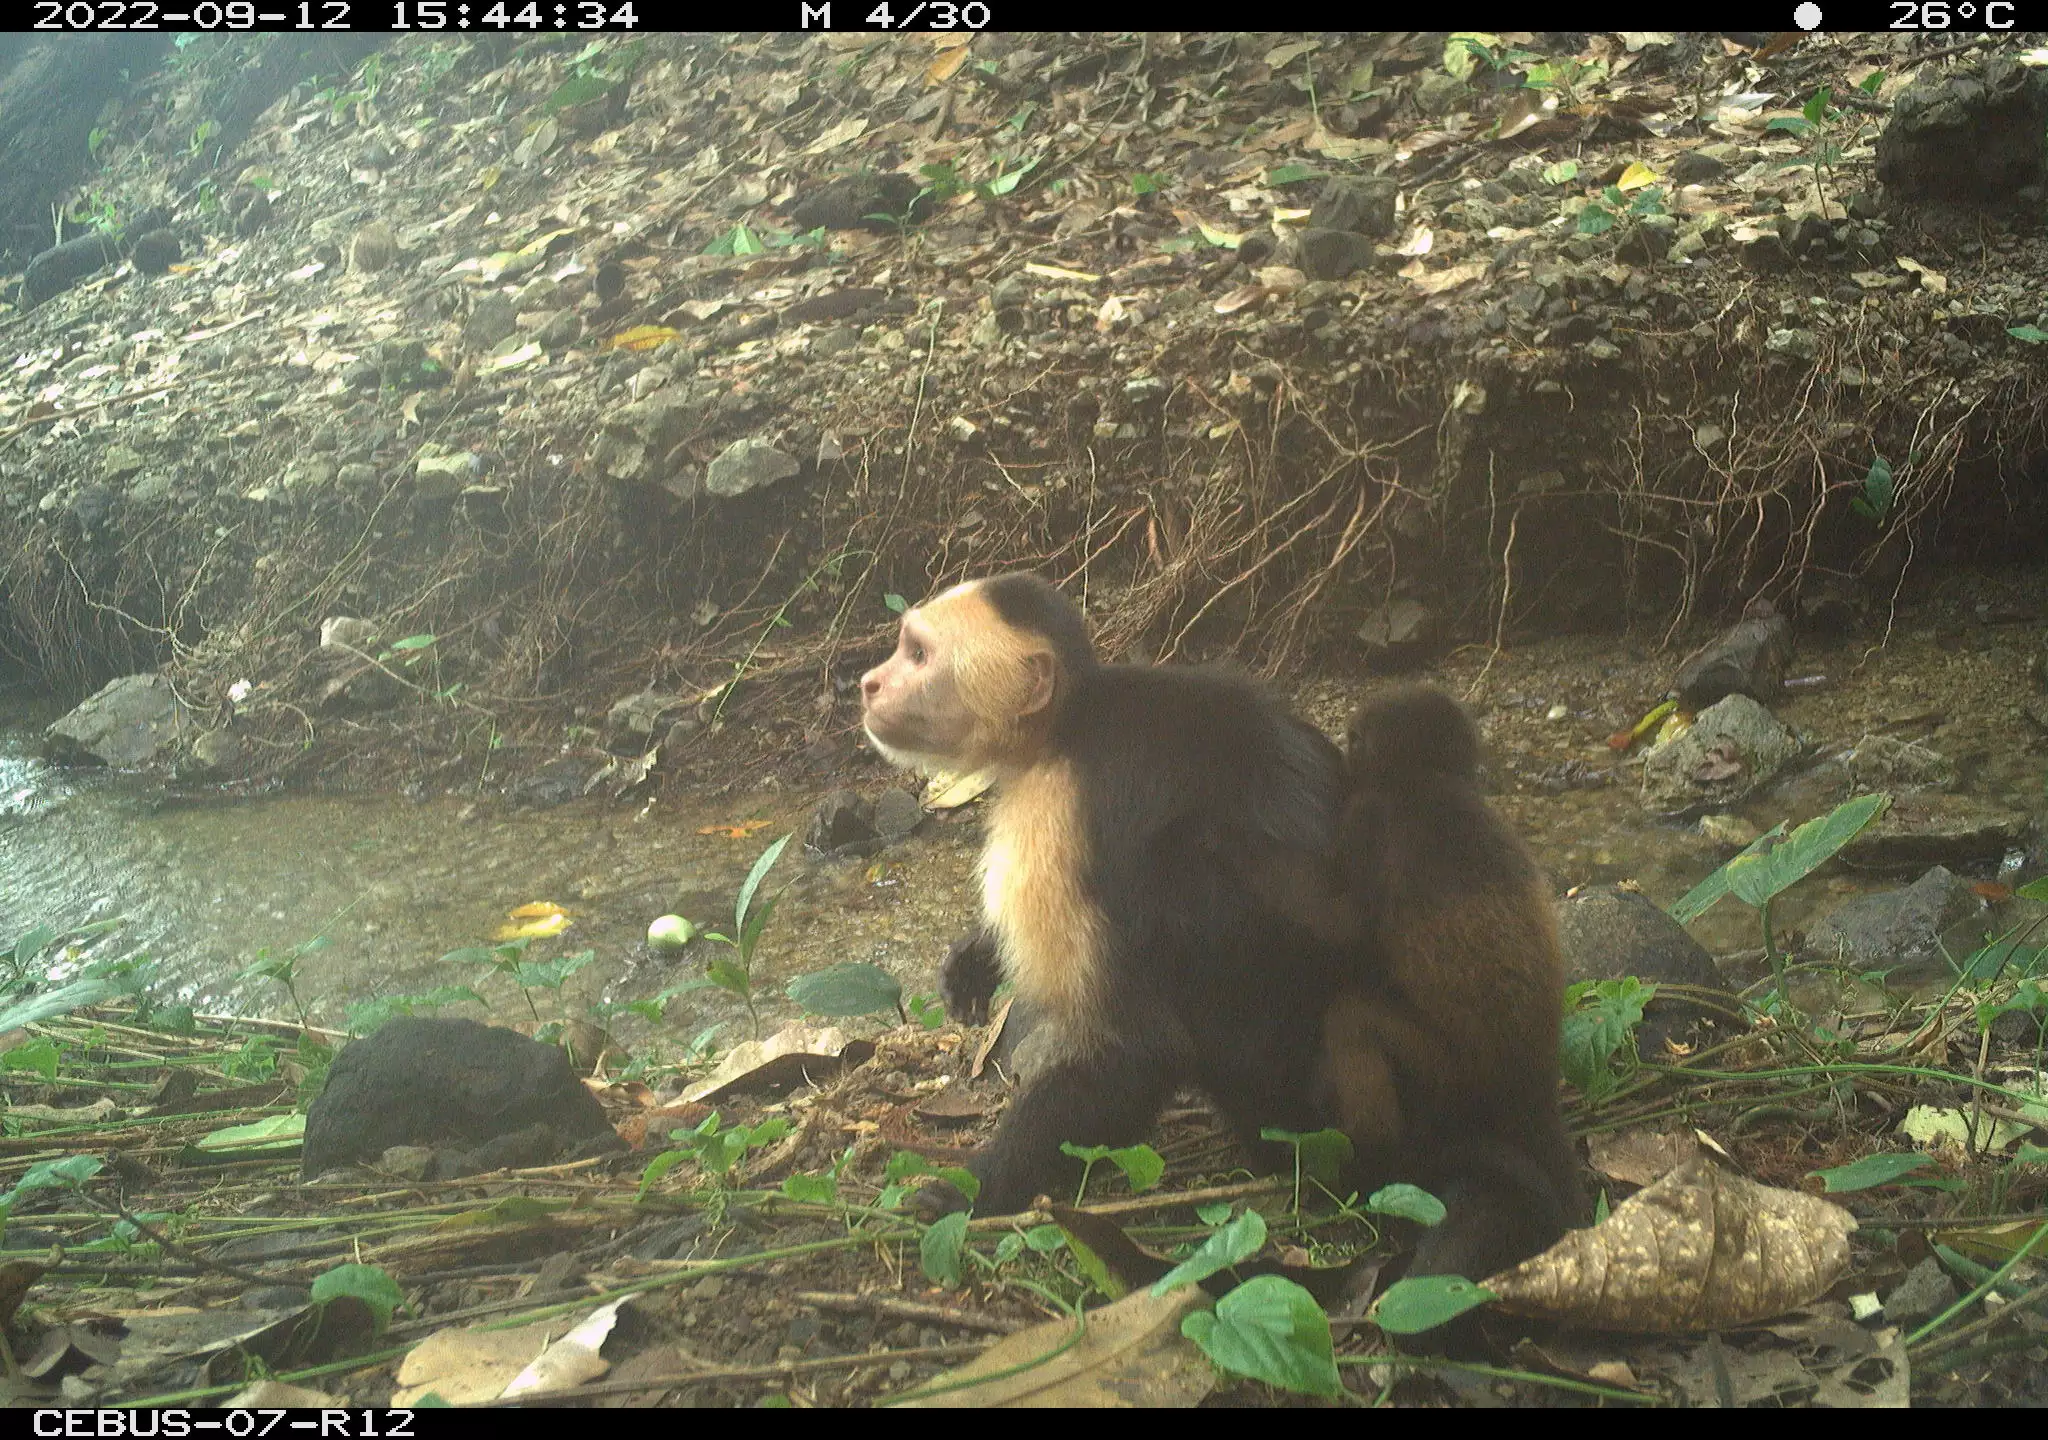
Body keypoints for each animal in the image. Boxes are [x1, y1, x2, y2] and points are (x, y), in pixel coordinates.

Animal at [859, 572, 1356, 1217]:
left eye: (918, 655)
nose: (868, 682)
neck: (1062, 727)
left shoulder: (1051, 820)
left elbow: (1138, 1050)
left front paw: (973, 1191)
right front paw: (975, 958)